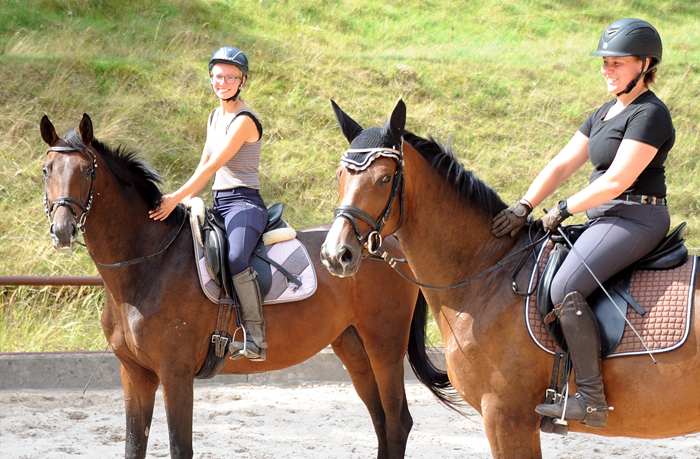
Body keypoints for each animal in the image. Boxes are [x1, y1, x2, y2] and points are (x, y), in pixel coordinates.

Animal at [41, 112, 452, 459]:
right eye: (47, 169)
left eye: (86, 170)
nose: (62, 230)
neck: (147, 264)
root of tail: (386, 242)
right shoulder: (135, 374)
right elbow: (132, 446)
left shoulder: (175, 373)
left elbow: (179, 447)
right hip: (353, 346)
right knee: (382, 421)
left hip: (384, 344)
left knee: (397, 422)